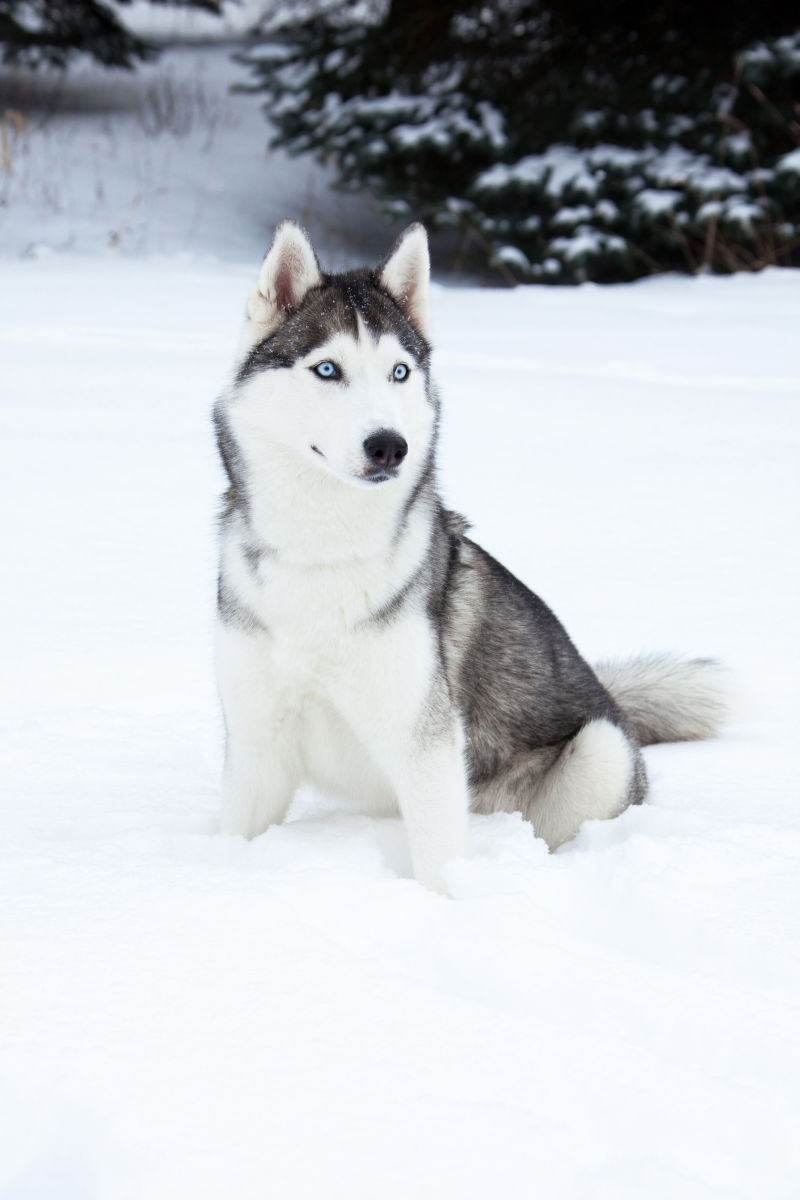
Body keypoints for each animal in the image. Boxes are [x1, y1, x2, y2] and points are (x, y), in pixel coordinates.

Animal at [214, 223, 734, 892]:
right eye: (327, 369)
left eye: (400, 372)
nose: (389, 446)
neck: (321, 551)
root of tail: (615, 702)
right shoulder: (257, 743)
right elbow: (234, 837)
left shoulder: (425, 747)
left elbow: (440, 864)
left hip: (600, 753)